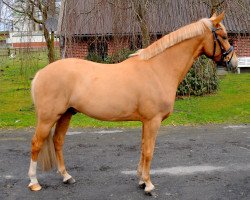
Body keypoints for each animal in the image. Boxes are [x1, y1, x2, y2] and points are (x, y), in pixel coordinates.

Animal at [28, 12, 237, 194]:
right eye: (224, 36)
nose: (233, 62)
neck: (158, 69)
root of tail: (40, 73)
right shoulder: (153, 121)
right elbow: (149, 151)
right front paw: (149, 185)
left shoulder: (146, 121)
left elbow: (143, 148)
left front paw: (141, 181)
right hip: (48, 118)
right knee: (36, 143)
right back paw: (34, 182)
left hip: (66, 114)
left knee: (57, 141)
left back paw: (66, 177)